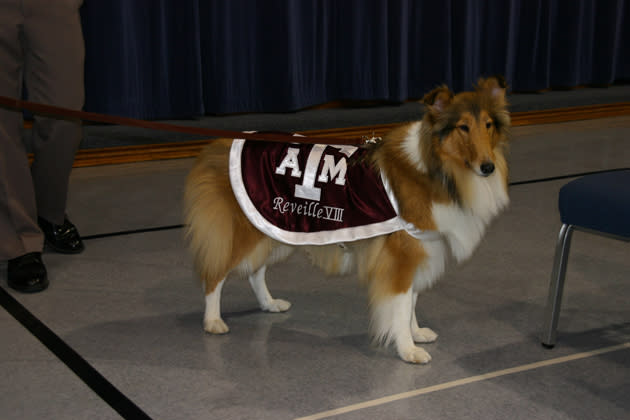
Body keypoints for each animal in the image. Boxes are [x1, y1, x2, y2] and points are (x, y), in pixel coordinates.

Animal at [185, 77, 512, 362]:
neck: (437, 168)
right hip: (243, 231)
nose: (488, 167)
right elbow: (401, 303)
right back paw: (213, 321)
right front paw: (407, 349)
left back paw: (269, 304)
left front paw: (415, 332)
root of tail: (218, 145)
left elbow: (411, 302)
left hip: (275, 227)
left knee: (255, 271)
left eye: (488, 125)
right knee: (214, 275)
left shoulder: (421, 248)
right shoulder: (402, 256)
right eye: (463, 127)